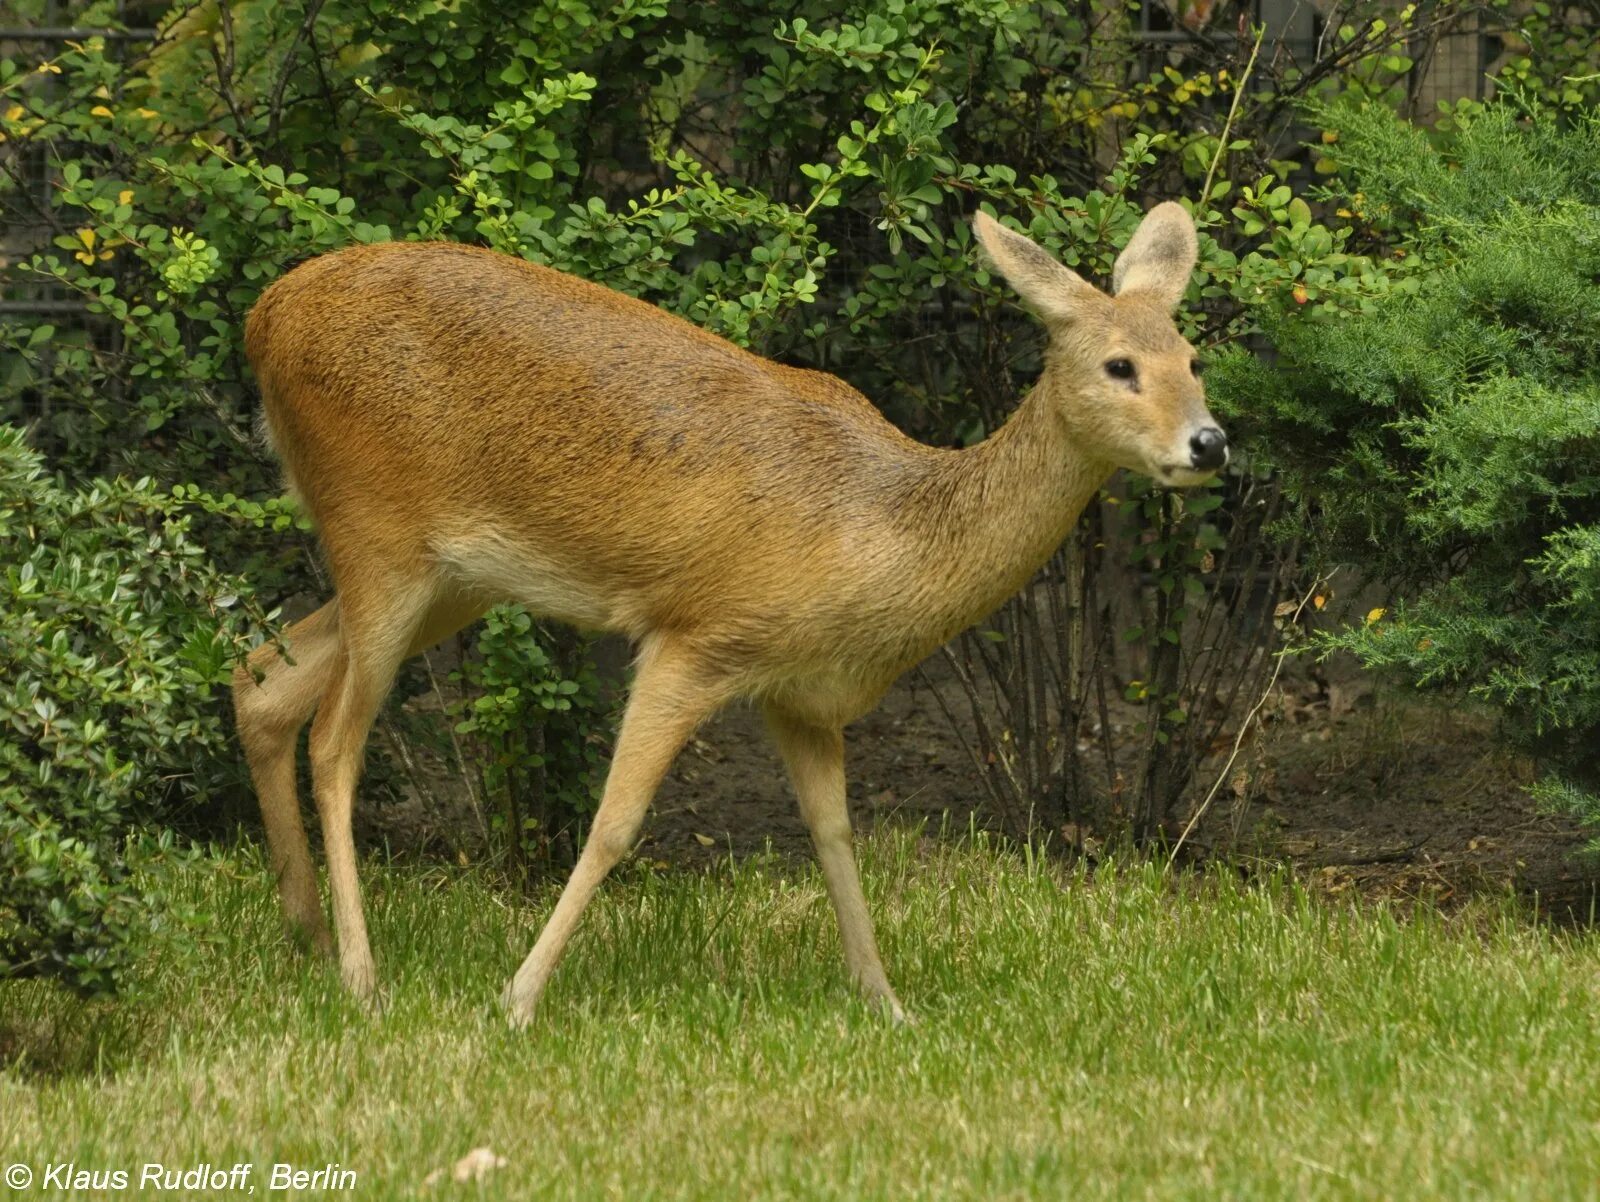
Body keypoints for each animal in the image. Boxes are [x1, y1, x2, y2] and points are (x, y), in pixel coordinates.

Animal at [232, 200, 1216, 1024]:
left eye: (1192, 358)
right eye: (1119, 365)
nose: (1211, 442)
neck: (879, 530)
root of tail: (264, 316)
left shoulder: (800, 694)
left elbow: (834, 834)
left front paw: (887, 1003)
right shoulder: (699, 636)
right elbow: (614, 824)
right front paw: (516, 998)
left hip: (454, 579)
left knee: (262, 677)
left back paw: (306, 935)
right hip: (379, 531)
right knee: (334, 740)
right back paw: (363, 977)